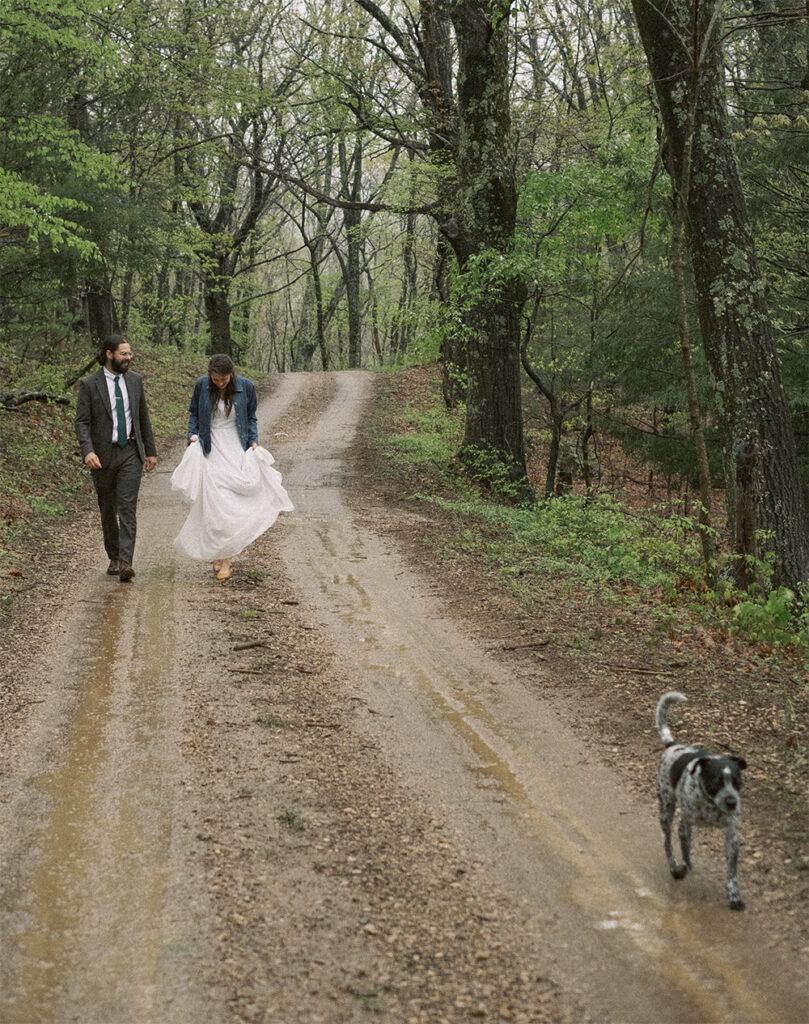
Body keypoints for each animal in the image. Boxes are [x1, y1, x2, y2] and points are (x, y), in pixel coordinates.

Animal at [659, 692, 749, 909]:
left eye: (737, 781)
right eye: (716, 781)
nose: (732, 802)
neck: (711, 805)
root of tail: (673, 746)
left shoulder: (731, 836)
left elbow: (732, 873)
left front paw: (734, 896)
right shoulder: (684, 826)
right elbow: (686, 855)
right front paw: (683, 868)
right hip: (666, 810)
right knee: (667, 843)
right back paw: (674, 867)